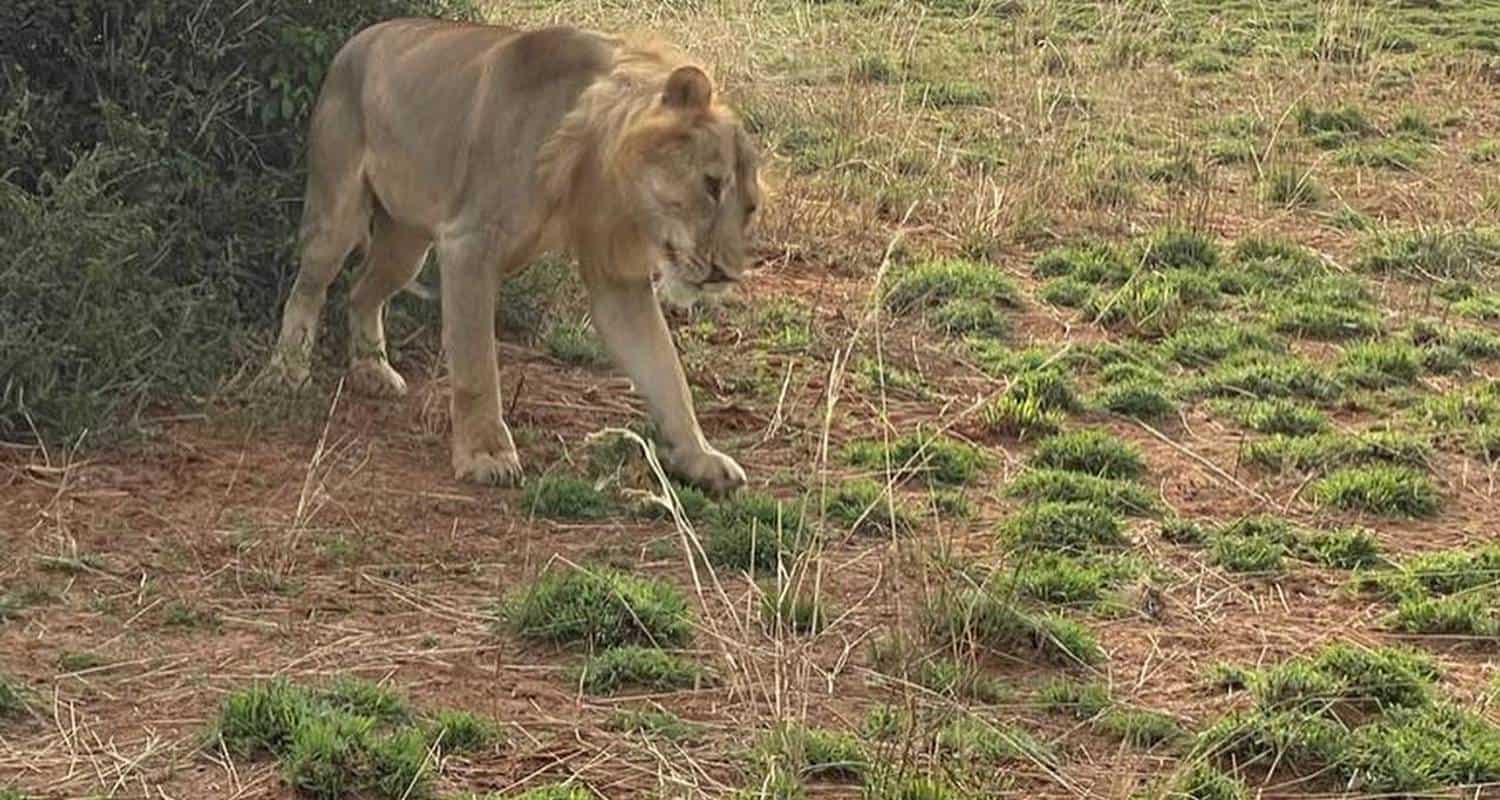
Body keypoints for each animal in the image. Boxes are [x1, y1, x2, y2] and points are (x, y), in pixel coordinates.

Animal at [263, 18, 762, 493]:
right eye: (712, 185)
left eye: (750, 207)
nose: (725, 274)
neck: (596, 169)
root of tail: (358, 40)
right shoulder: (468, 243)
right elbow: (477, 365)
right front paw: (486, 454)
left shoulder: (616, 279)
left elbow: (665, 371)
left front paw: (700, 457)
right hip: (338, 214)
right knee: (308, 289)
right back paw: (288, 371)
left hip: (406, 245)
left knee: (360, 291)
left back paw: (372, 370)